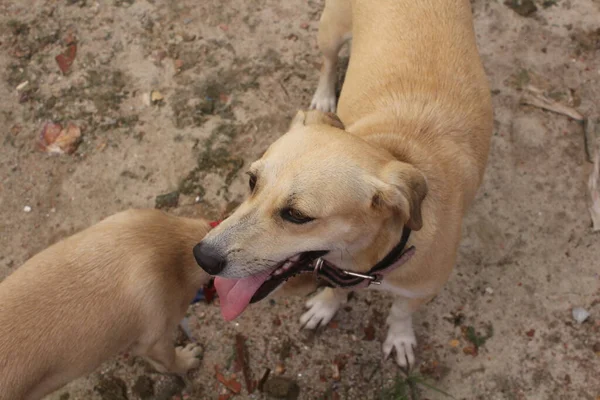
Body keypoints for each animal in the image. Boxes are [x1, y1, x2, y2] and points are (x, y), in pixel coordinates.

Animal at [195, 0, 490, 368]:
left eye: (297, 215)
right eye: (252, 180)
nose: (201, 256)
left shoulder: (422, 289)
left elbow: (400, 313)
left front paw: (400, 337)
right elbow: (336, 289)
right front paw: (326, 305)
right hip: (330, 31)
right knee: (328, 62)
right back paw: (323, 97)